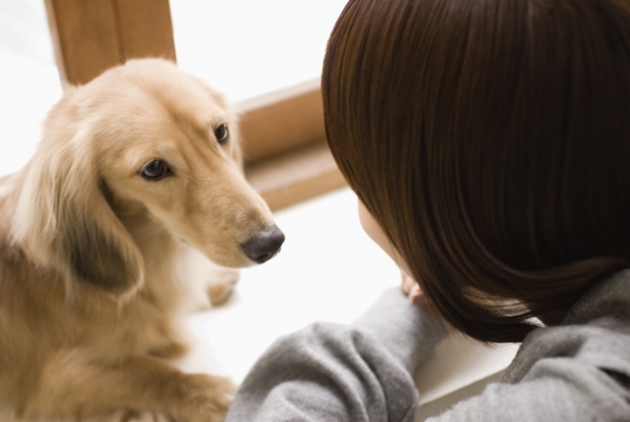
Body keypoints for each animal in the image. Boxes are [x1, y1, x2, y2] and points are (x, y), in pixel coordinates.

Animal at [0, 59, 284, 422]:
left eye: (221, 131)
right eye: (154, 169)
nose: (271, 242)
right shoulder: (51, 382)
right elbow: (146, 372)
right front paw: (209, 395)